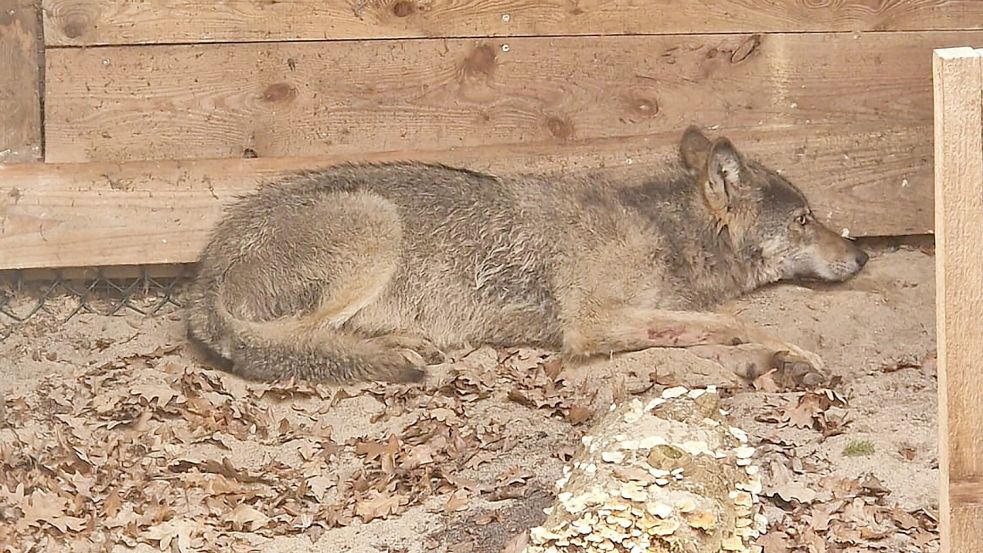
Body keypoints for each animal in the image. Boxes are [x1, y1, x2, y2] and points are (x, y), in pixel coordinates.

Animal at [185, 127, 868, 388]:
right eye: (805, 219)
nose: (862, 254)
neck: (664, 231)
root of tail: (203, 275)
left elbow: (712, 330)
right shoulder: (591, 325)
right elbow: (734, 322)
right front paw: (793, 355)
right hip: (376, 223)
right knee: (295, 342)